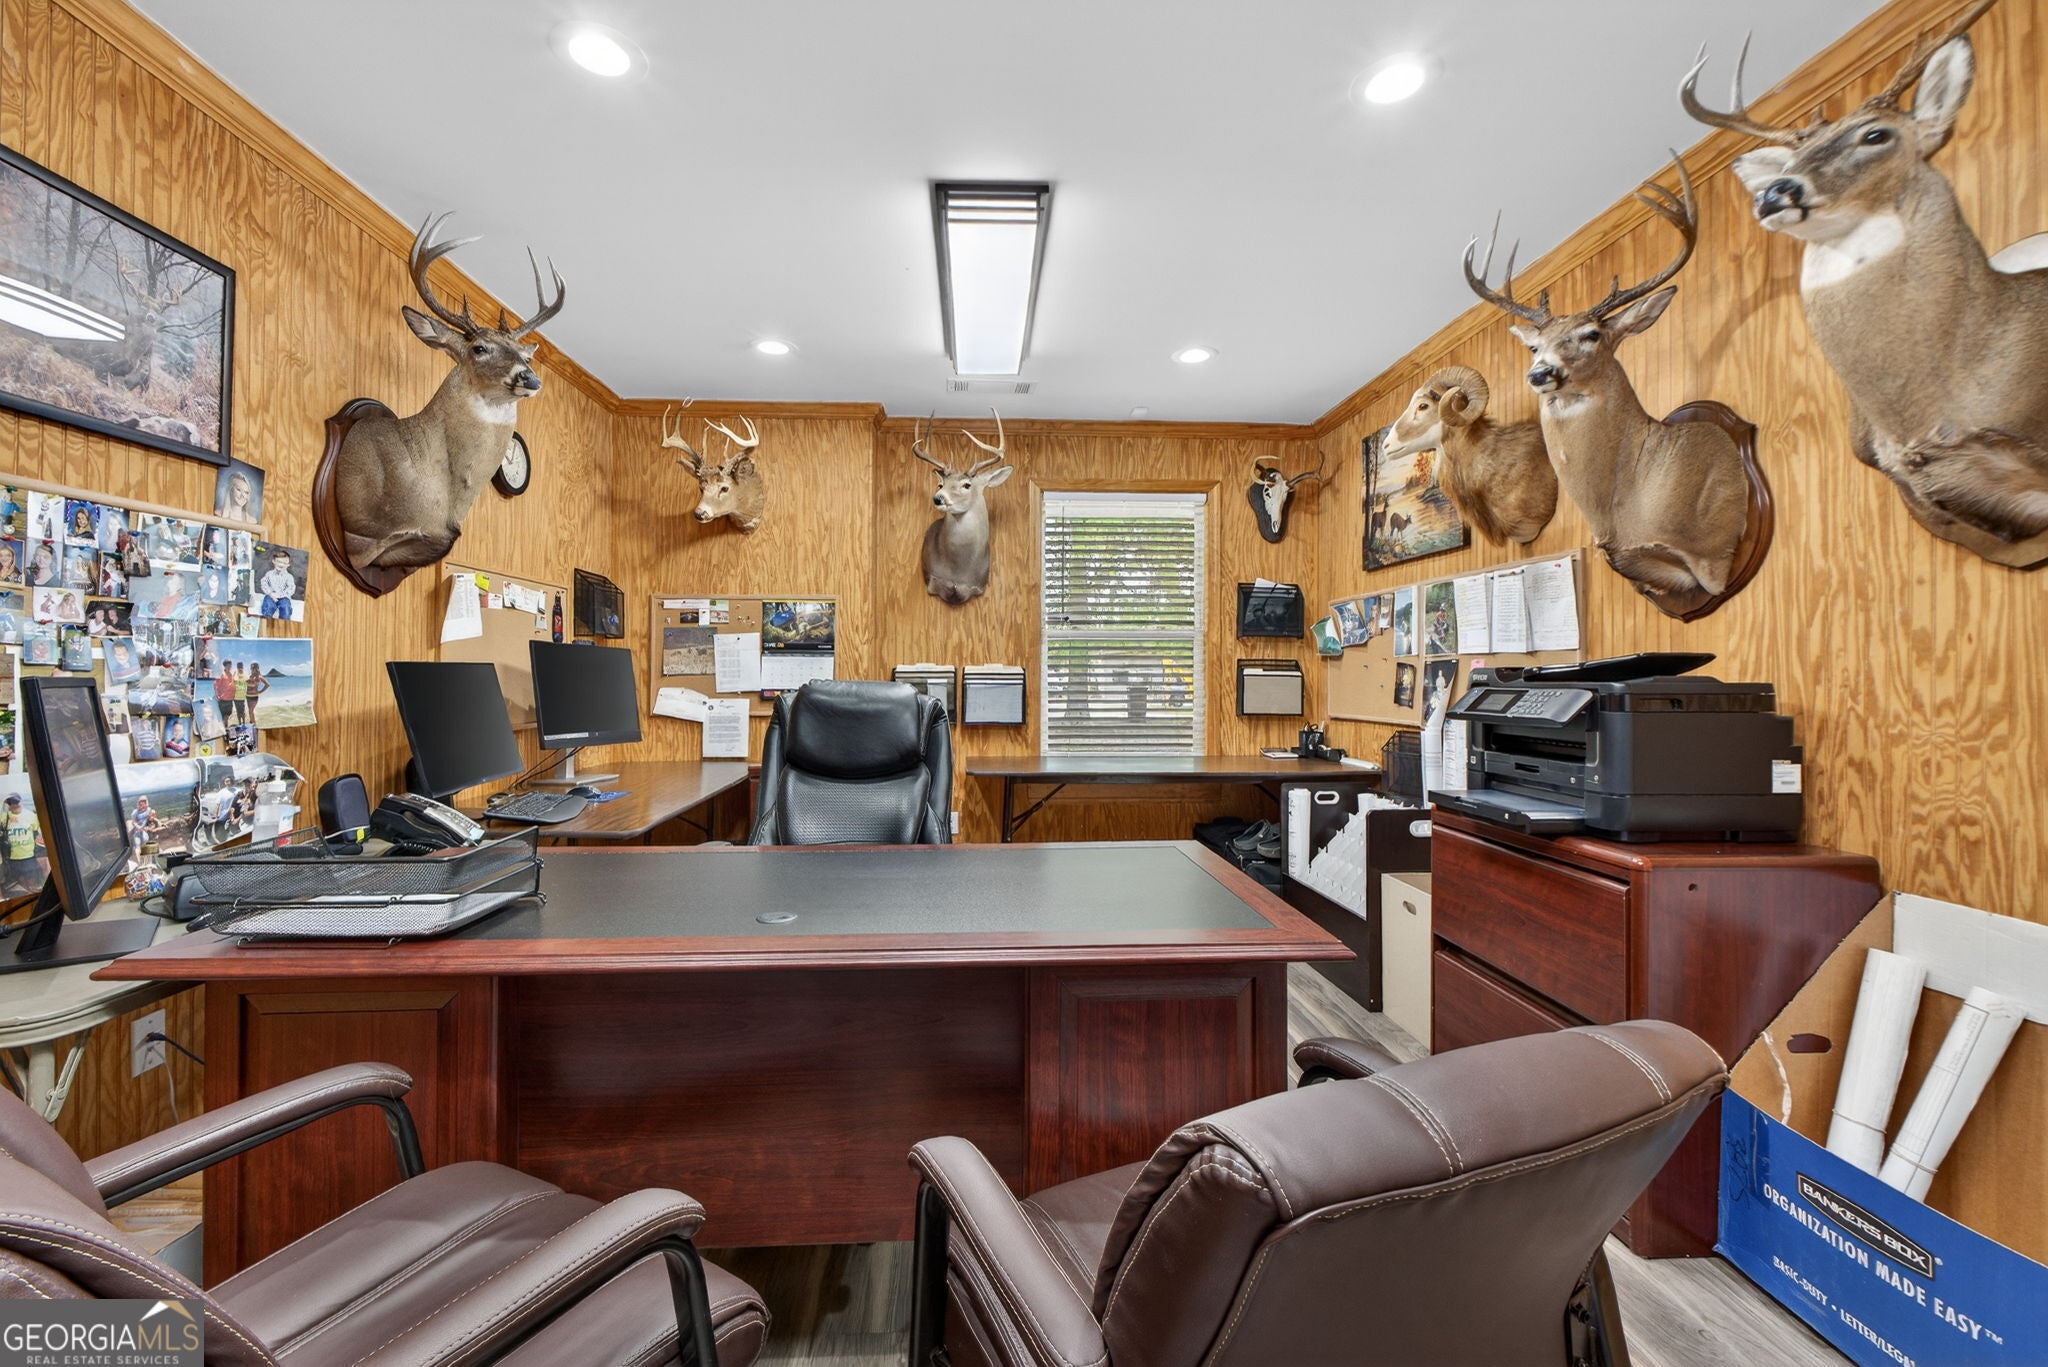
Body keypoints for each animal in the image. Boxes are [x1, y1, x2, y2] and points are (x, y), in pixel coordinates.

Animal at [911, 409, 1014, 605]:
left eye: (967, 485)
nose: (938, 498)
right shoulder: (935, 582)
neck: (959, 572)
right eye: (940, 485)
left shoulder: (977, 586)